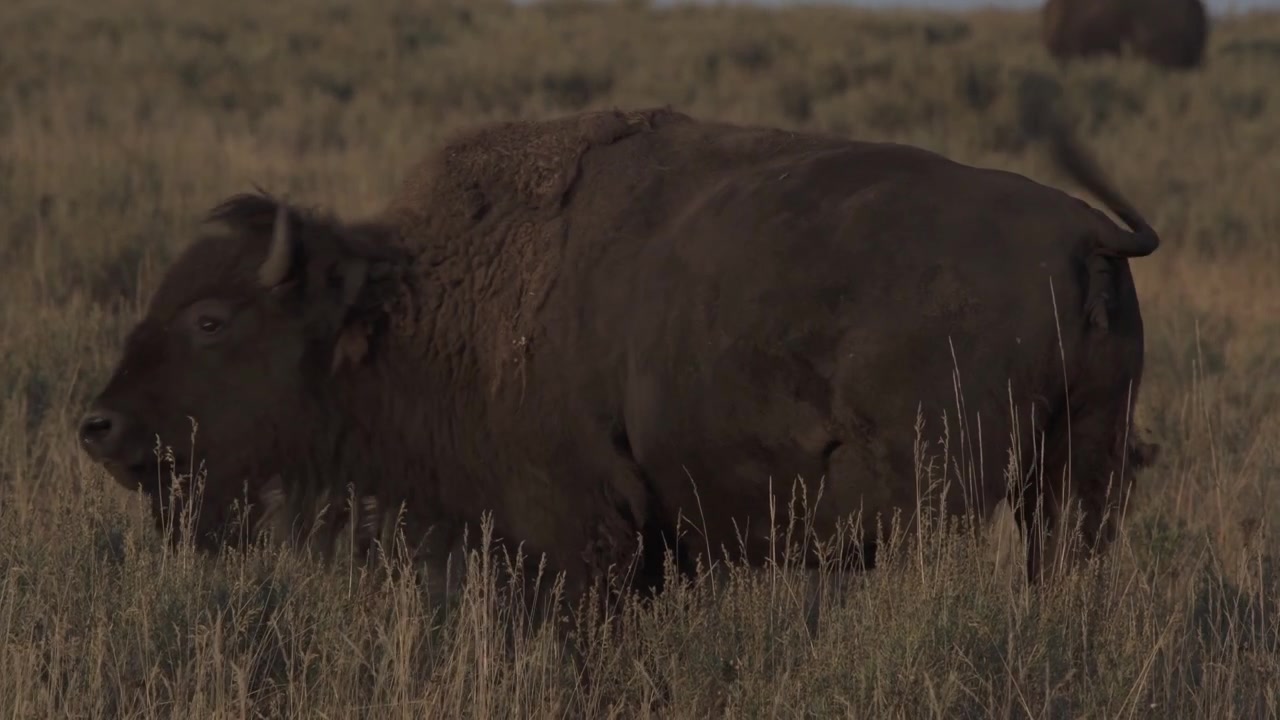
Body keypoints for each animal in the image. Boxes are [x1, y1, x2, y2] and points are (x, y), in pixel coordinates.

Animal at [79, 106, 1160, 600]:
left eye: (211, 321)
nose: (99, 426)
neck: (421, 305)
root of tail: (1080, 229)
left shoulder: (573, 539)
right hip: (1080, 475)